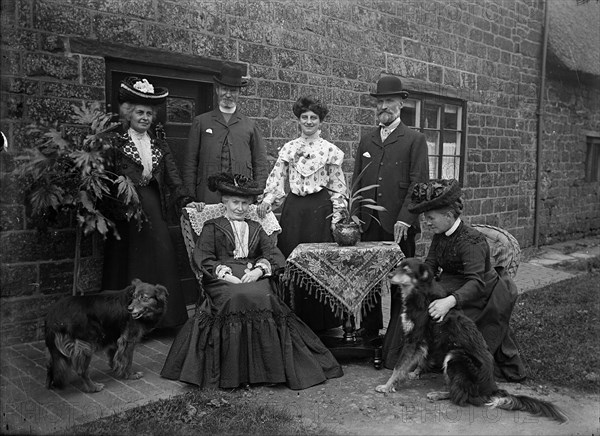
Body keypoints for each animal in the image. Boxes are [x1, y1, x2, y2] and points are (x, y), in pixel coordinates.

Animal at [376, 258, 568, 422]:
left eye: (406, 269)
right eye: (399, 266)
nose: (389, 276)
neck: (420, 292)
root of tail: (491, 388)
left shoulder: (413, 339)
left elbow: (398, 366)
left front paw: (387, 386)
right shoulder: (424, 341)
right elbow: (420, 360)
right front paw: (413, 374)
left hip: (455, 355)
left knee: (461, 395)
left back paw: (438, 394)